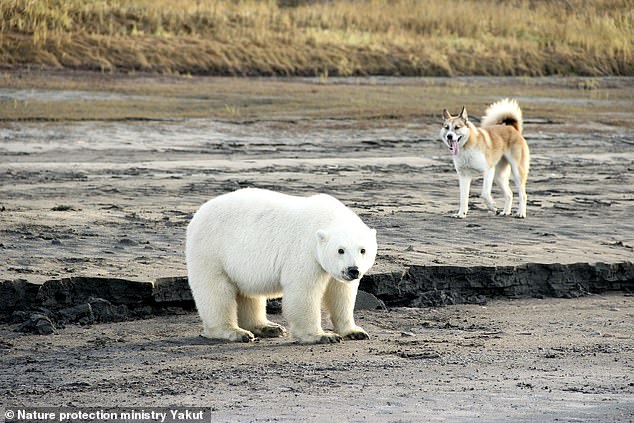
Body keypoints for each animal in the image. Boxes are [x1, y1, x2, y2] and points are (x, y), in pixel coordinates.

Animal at [186, 189, 376, 344]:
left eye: (363, 250)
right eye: (340, 250)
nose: (353, 270)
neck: (326, 218)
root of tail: (198, 214)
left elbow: (341, 294)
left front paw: (355, 332)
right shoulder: (305, 252)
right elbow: (304, 292)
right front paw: (322, 336)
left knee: (248, 294)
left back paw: (269, 327)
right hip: (211, 251)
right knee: (216, 292)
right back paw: (235, 332)